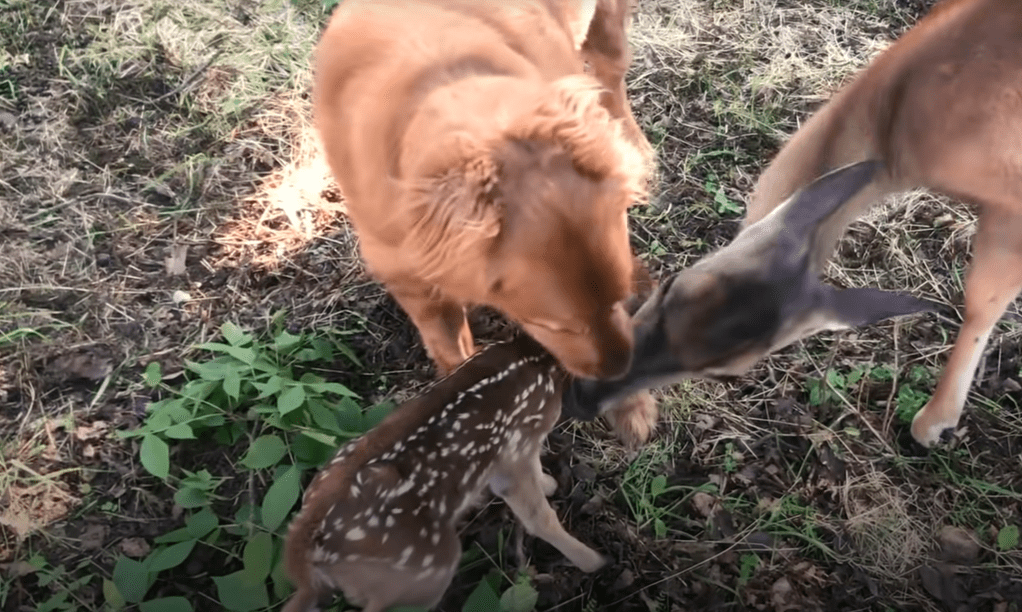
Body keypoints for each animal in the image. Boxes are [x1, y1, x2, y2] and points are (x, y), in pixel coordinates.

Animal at [310, 0, 649, 386]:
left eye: (620, 298)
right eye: (556, 326)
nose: (620, 371)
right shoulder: (409, 280)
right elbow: (450, 346)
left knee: (611, 75)